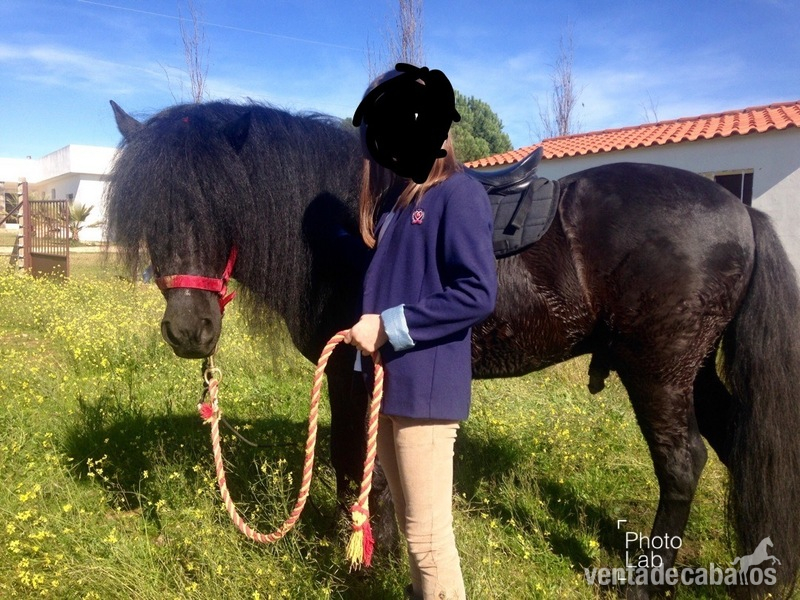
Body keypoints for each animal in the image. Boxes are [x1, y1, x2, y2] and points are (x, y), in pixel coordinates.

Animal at [105, 100, 800, 599]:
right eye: (149, 212)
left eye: (217, 199)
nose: (188, 332)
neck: (342, 227)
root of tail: (739, 211)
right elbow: (362, 466)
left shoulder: (355, 373)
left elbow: (355, 466)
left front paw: (362, 558)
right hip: (694, 372)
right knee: (739, 445)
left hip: (657, 369)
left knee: (683, 463)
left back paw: (647, 586)